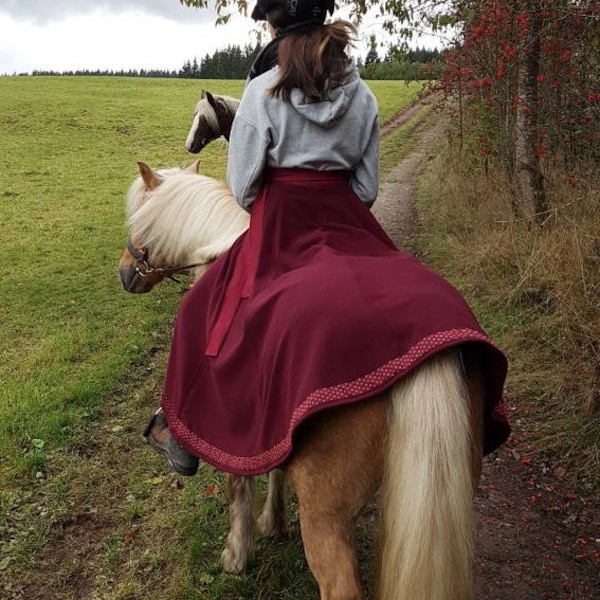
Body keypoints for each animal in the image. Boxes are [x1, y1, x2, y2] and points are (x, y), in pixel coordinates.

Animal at [118, 159, 492, 600]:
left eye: (139, 221)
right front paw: (274, 523)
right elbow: (274, 468)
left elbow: (237, 486)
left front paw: (237, 554)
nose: (125, 272)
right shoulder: (272, 424)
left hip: (326, 516)